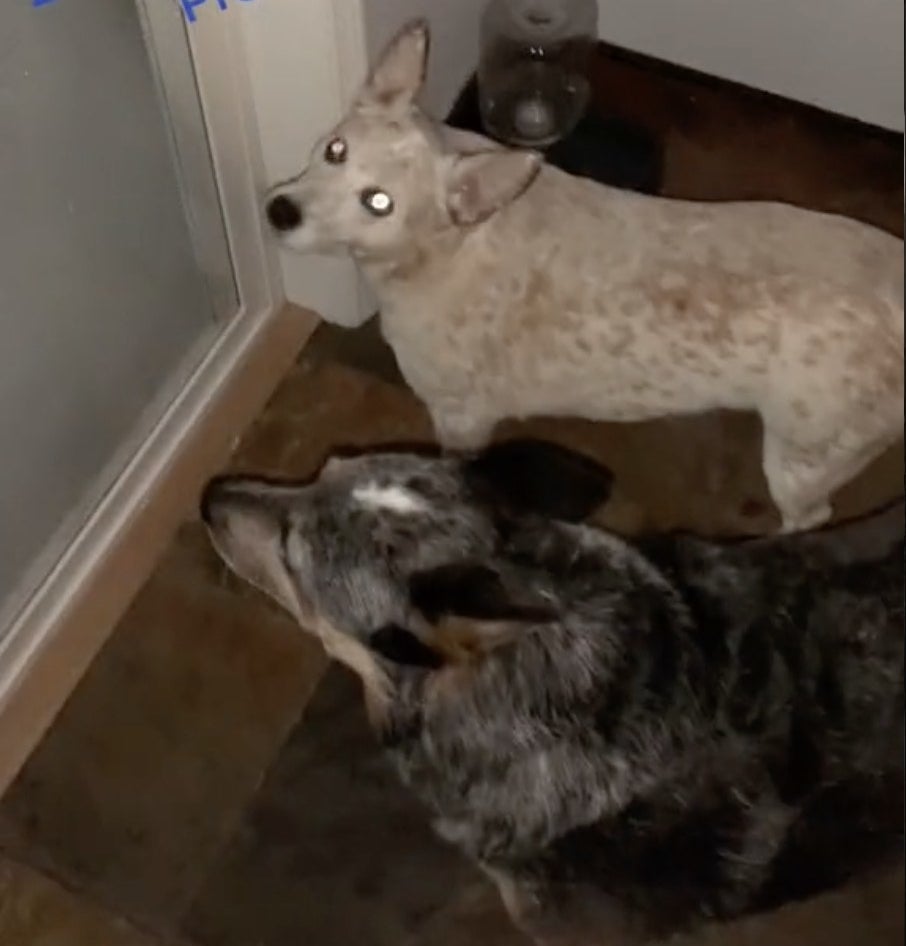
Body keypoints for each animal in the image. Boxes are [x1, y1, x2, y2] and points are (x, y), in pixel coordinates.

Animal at [264, 20, 900, 532]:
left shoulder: (461, 419)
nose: (279, 212)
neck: (442, 251)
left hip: (803, 459)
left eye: (378, 203)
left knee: (811, 519)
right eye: (335, 149)